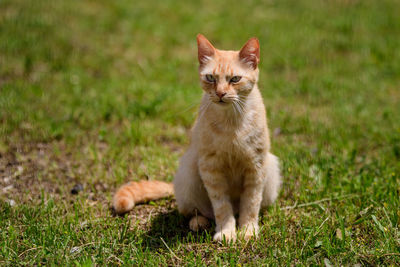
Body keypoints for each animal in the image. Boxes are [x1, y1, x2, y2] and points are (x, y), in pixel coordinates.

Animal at [112, 33, 282, 243]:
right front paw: (227, 232)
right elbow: (221, 207)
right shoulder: (211, 168)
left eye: (235, 79)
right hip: (189, 171)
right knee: (197, 211)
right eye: (210, 78)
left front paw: (248, 230)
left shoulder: (256, 166)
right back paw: (199, 223)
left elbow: (251, 204)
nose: (220, 93)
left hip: (271, 169)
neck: (231, 123)